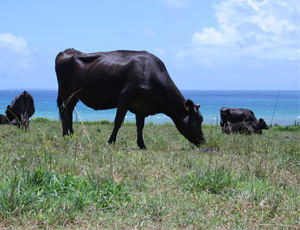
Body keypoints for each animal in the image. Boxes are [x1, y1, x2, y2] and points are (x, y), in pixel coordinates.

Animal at [55, 48, 205, 149]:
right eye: (198, 120)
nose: (203, 141)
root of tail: (66, 51)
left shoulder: (142, 106)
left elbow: (140, 126)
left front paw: (142, 145)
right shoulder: (124, 97)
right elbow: (118, 122)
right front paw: (111, 141)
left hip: (73, 96)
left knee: (68, 112)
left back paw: (70, 135)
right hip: (66, 93)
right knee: (66, 113)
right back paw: (66, 135)